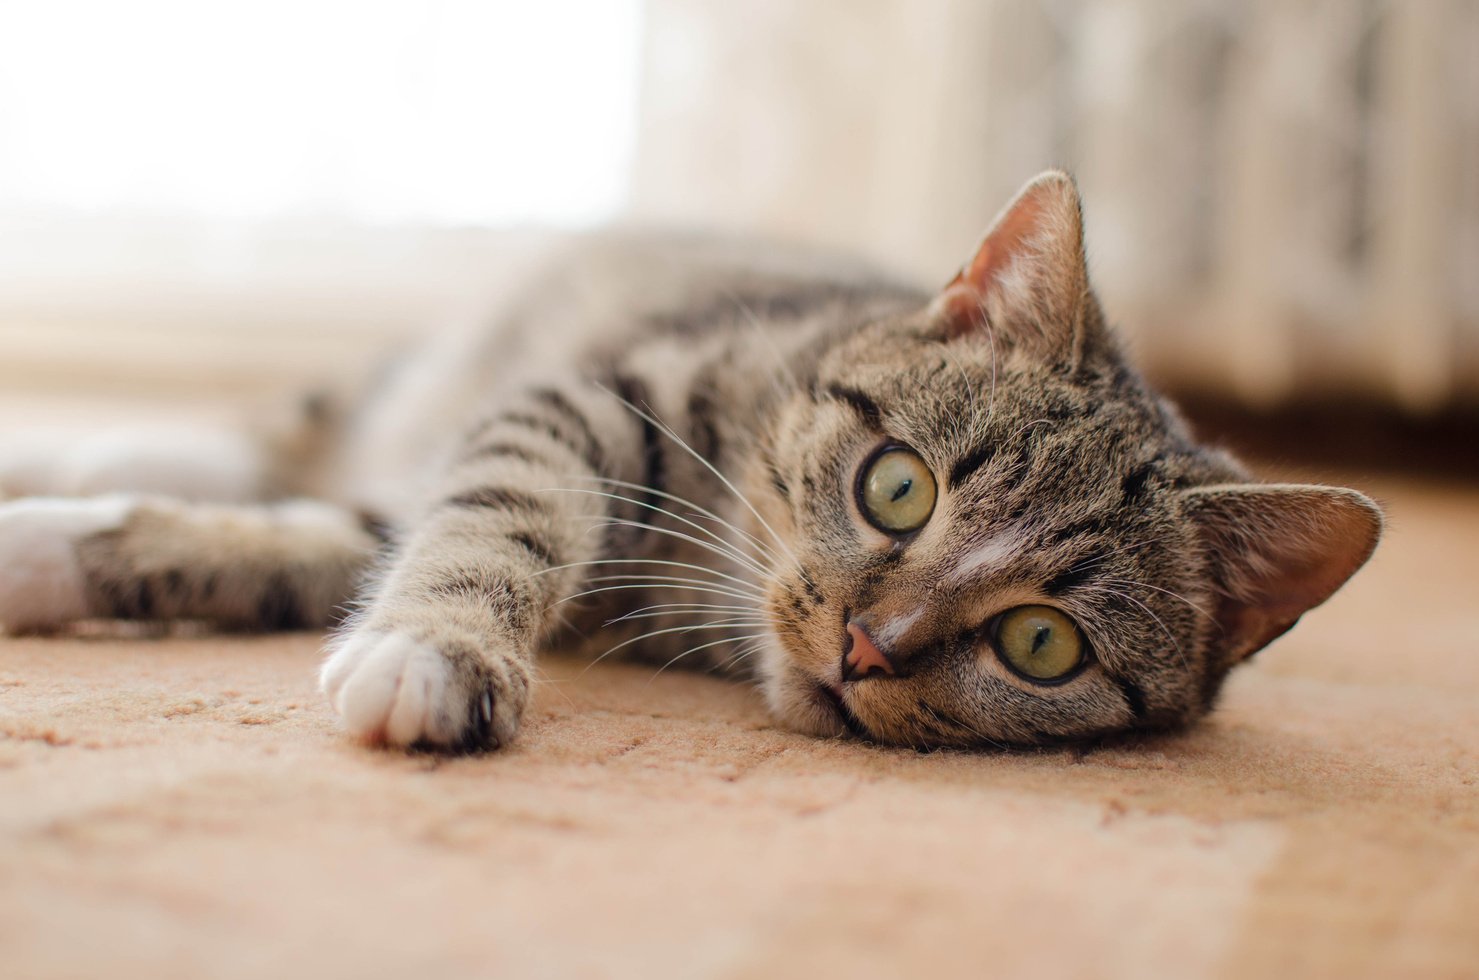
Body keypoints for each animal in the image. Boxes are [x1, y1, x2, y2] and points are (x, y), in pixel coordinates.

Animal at [0, 172, 1378, 750]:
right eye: (898, 484)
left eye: (1043, 643)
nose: (865, 646)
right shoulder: (590, 397)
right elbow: (502, 507)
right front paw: (443, 648)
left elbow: (274, 548)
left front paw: (46, 552)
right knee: (284, 421)